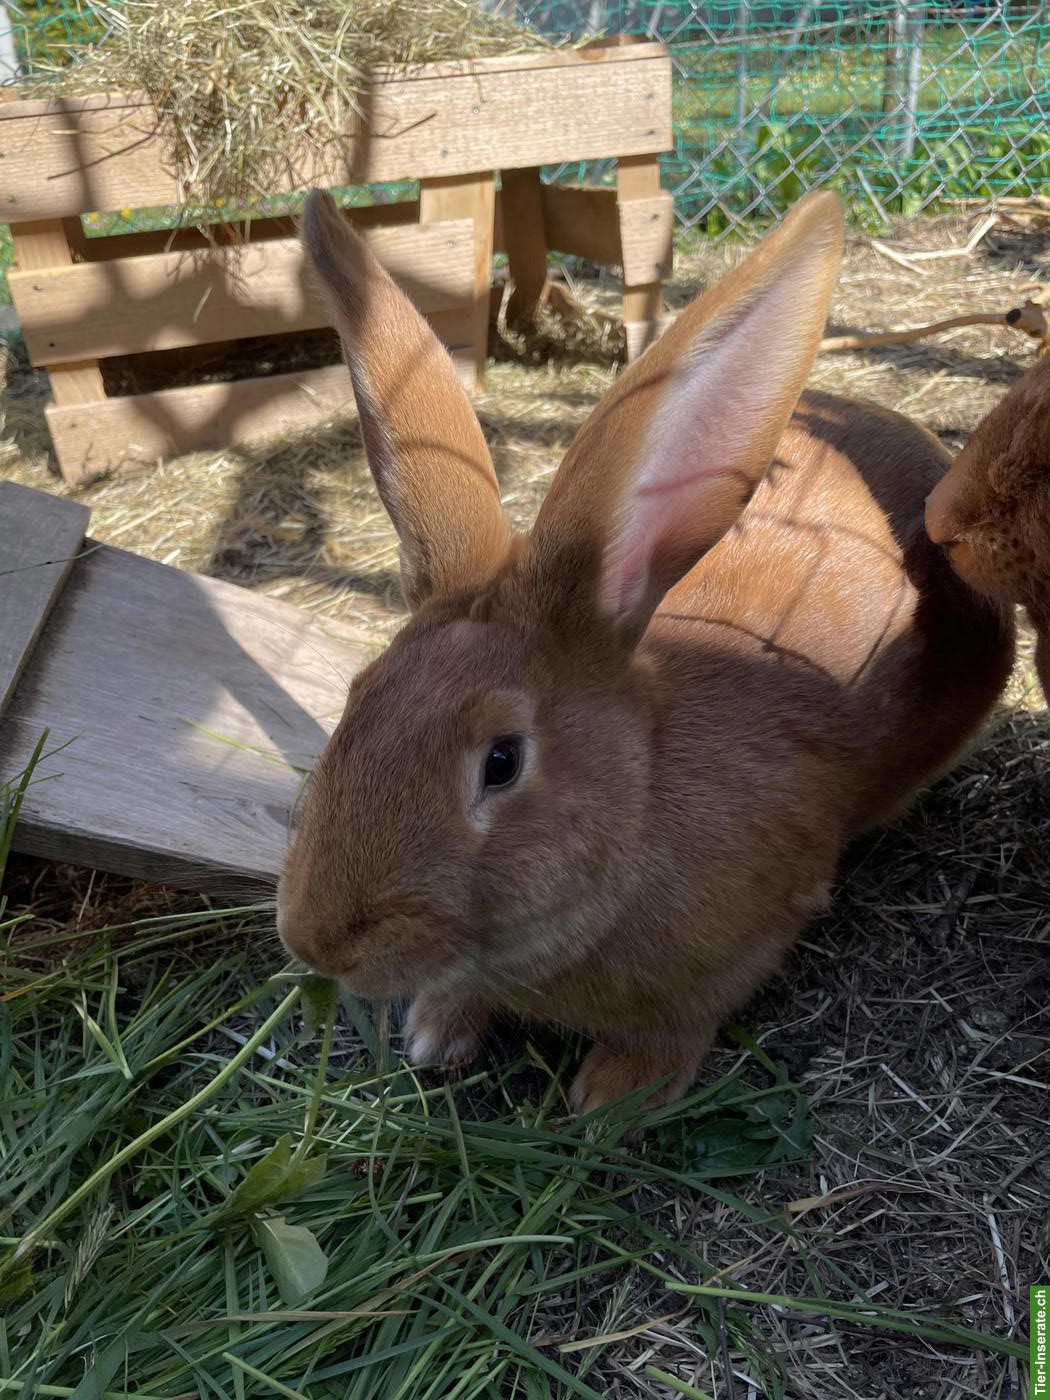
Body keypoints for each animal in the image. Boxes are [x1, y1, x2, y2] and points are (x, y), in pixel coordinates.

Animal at [277, 189, 1014, 1115]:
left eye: (502, 762)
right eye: (356, 697)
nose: (315, 942)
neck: (638, 803)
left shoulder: (736, 951)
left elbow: (677, 1029)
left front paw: (610, 1099)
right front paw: (437, 1033)